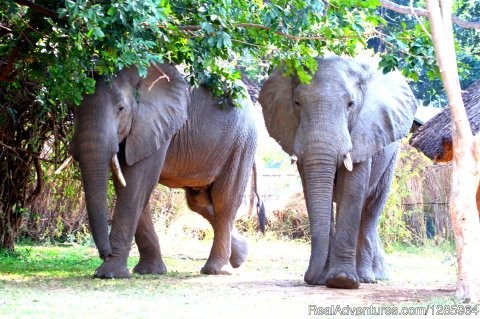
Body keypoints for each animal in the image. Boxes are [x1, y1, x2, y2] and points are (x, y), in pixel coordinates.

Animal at [69, 63, 256, 278]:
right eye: (74, 108)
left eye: (121, 109)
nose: (105, 254)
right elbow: (127, 183)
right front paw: (150, 271)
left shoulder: (155, 123)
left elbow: (136, 182)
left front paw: (109, 274)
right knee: (199, 202)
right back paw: (241, 255)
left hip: (241, 141)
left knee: (223, 200)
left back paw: (216, 270)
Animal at [258, 57, 416, 290]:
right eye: (296, 103)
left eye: (350, 104)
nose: (308, 278)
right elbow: (311, 191)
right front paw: (325, 279)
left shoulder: (364, 133)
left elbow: (351, 191)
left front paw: (342, 280)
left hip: (391, 157)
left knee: (371, 210)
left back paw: (368, 278)